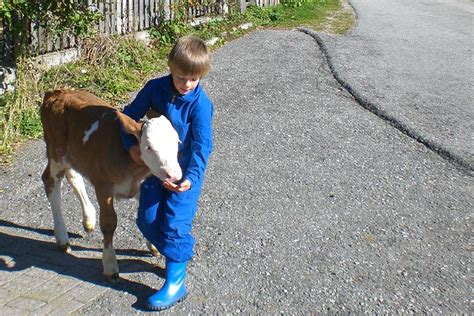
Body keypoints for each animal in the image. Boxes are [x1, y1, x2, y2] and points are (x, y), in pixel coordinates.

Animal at [40, 89, 181, 282]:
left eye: (177, 142)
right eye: (149, 147)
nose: (174, 174)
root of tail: (55, 93)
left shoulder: (141, 187)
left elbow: (147, 216)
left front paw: (154, 245)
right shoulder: (103, 186)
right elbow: (109, 223)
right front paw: (110, 265)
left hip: (73, 154)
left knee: (73, 175)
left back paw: (88, 218)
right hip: (56, 151)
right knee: (50, 181)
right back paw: (62, 239)